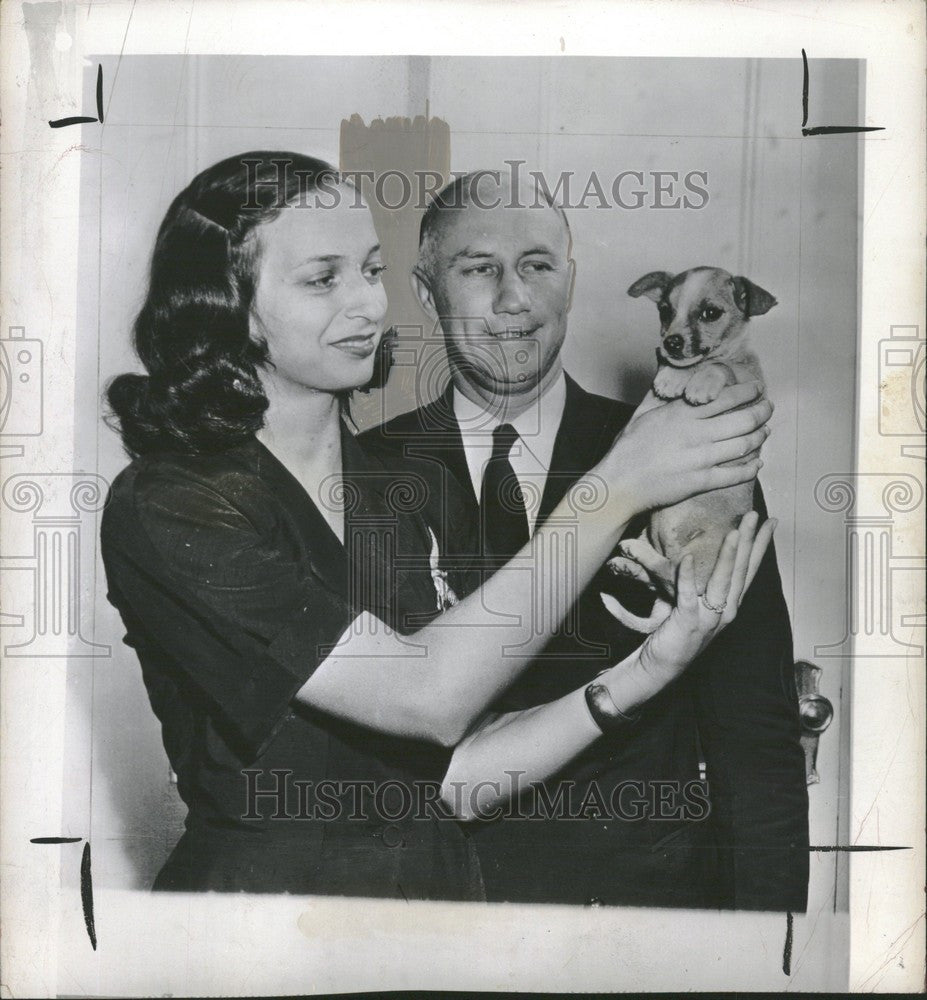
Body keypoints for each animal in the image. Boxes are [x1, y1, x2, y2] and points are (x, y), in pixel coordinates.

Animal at [600, 266, 776, 632]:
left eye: (710, 313)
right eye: (665, 310)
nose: (672, 342)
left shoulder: (748, 389)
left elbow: (720, 367)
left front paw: (700, 383)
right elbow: (677, 369)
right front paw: (670, 378)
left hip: (696, 556)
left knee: (672, 575)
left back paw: (636, 555)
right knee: (660, 579)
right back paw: (630, 563)